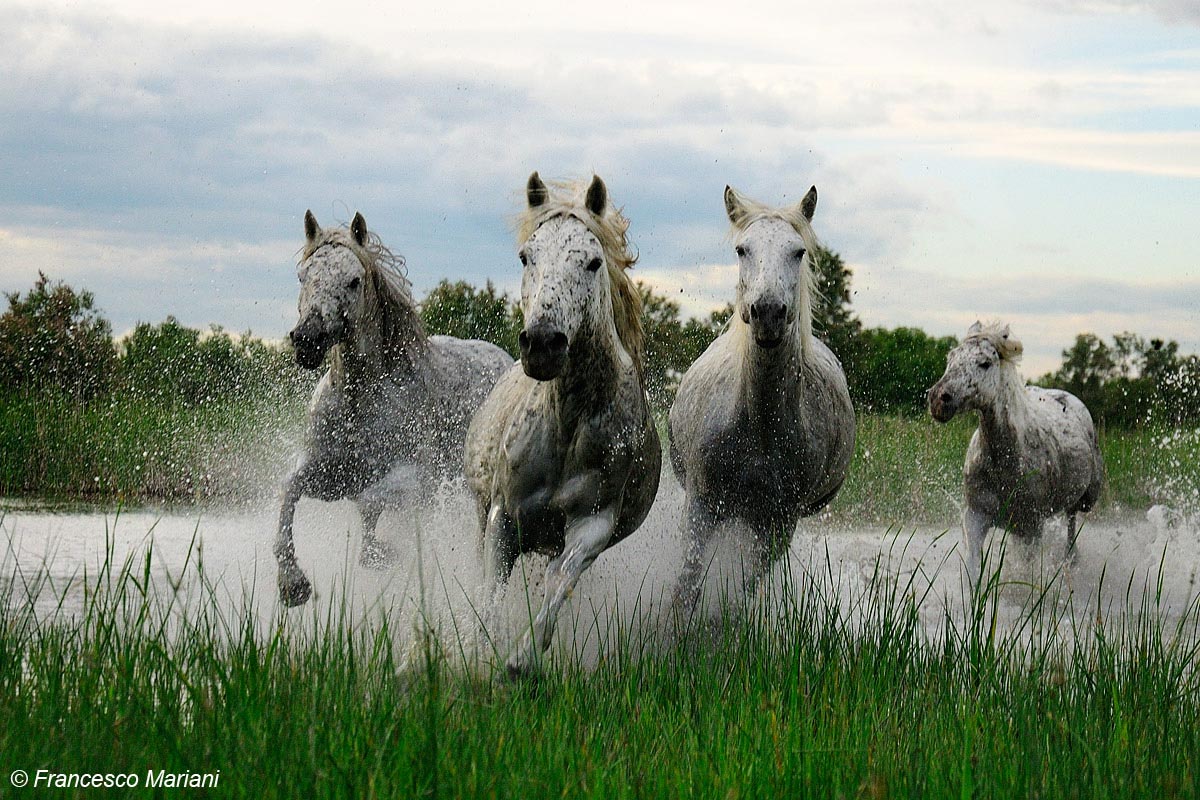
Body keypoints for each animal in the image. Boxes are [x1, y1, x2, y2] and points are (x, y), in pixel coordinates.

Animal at [275, 210, 512, 606]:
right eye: (303, 276)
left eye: (354, 281)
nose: (307, 340)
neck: (358, 402)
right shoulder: (329, 474)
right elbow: (289, 489)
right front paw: (292, 583)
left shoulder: (417, 478)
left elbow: (370, 500)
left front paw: (379, 553)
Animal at [464, 173, 662, 677]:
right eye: (526, 256)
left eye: (592, 261)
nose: (543, 344)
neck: (567, 427)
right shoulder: (502, 516)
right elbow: (490, 596)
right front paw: (474, 656)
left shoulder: (593, 524)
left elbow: (561, 581)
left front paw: (520, 660)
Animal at [667, 185, 856, 615]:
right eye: (742, 249)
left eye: (798, 251)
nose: (768, 312)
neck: (760, 424)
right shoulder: (701, 505)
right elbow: (686, 586)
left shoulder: (779, 522)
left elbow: (741, 591)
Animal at [928, 321, 1104, 587]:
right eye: (951, 358)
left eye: (984, 363)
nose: (938, 399)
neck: (1004, 461)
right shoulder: (975, 517)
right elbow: (972, 568)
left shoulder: (1030, 526)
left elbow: (1023, 569)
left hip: (1085, 498)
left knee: (1071, 518)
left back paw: (1071, 559)